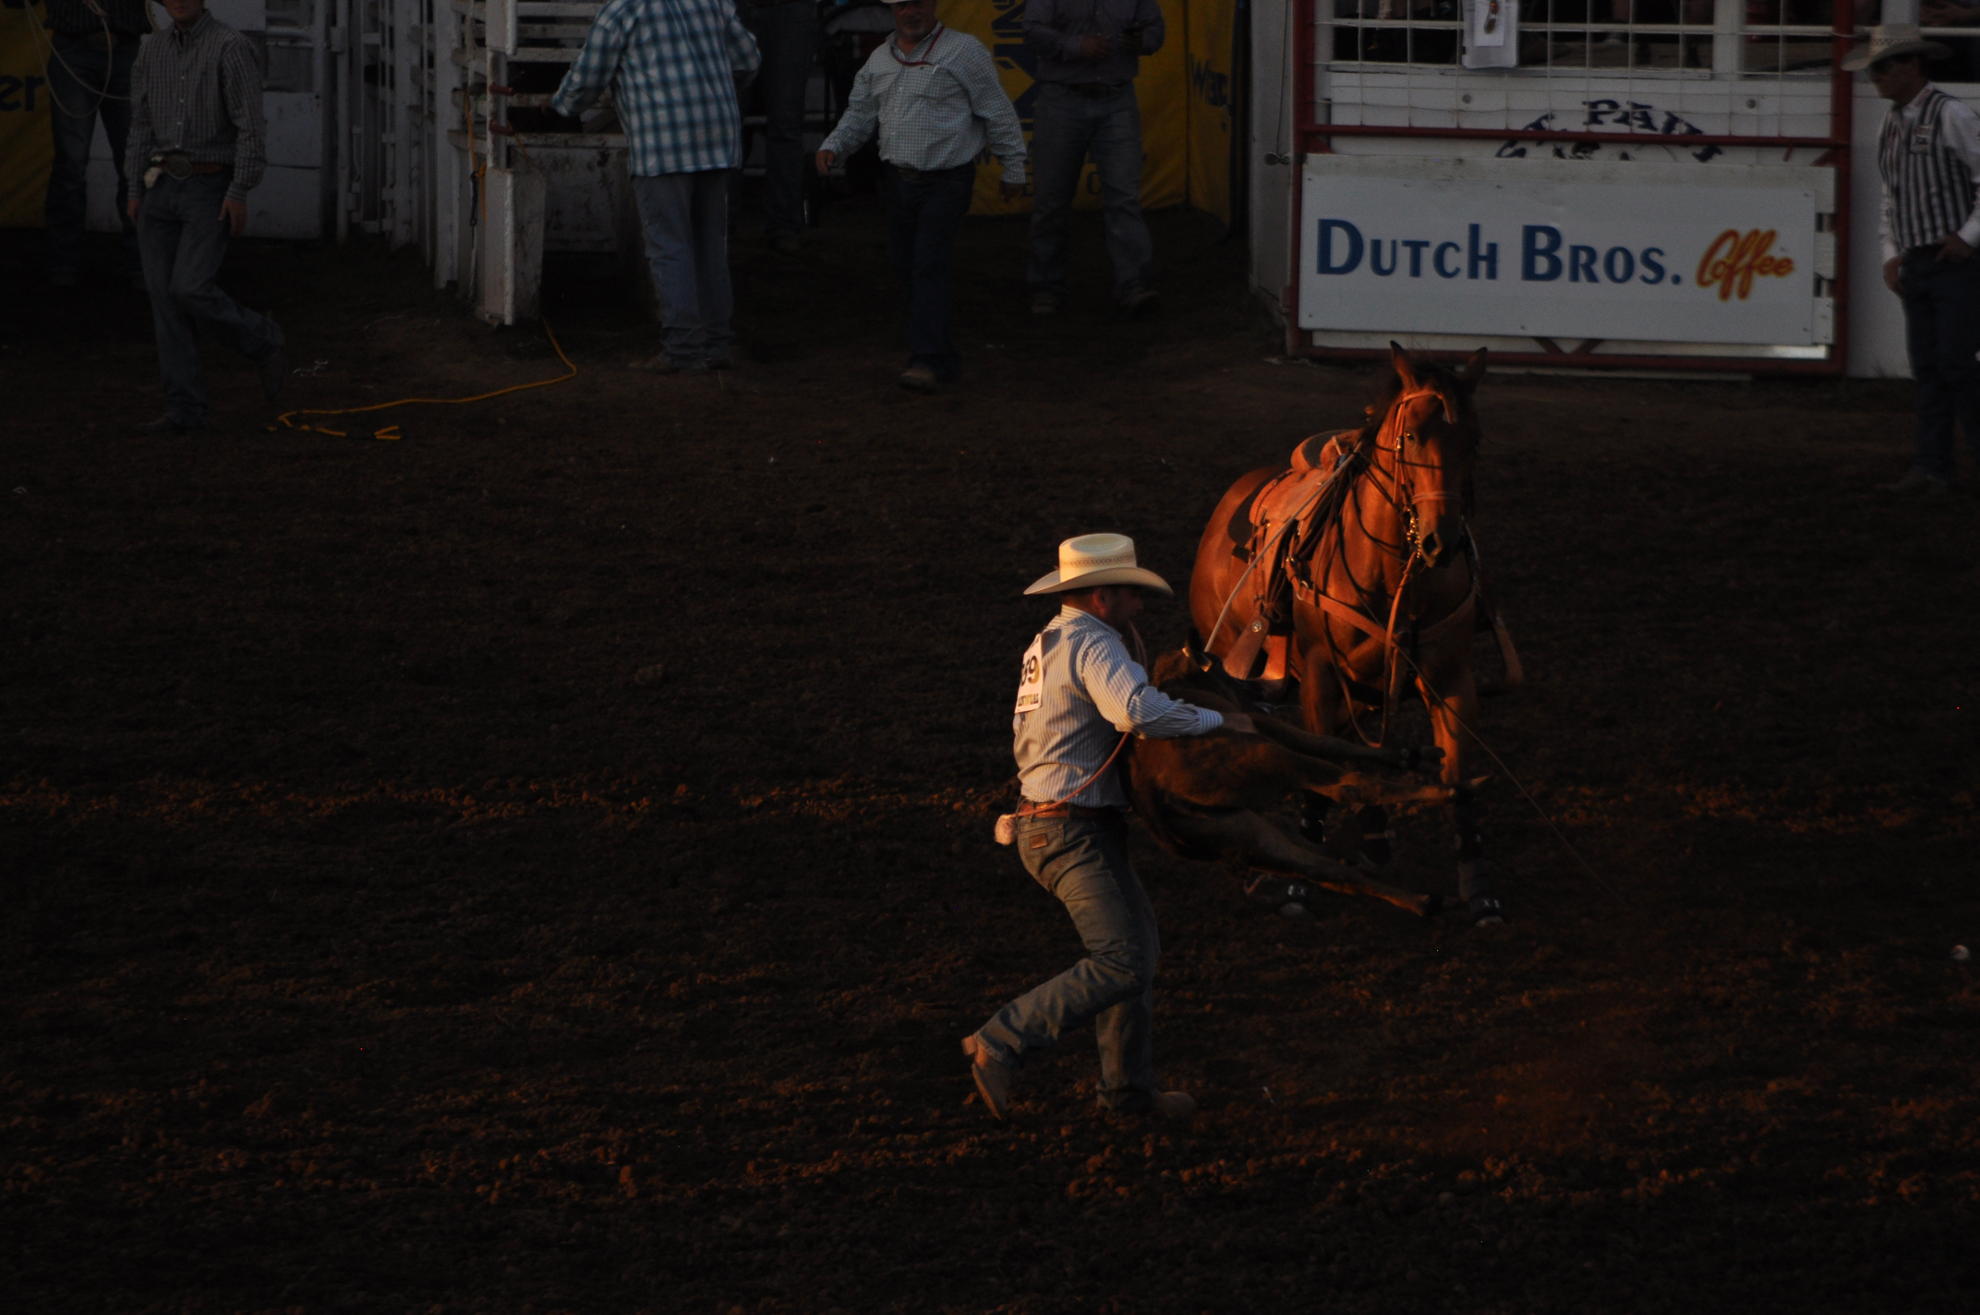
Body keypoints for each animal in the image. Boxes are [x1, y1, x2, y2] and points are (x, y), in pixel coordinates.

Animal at [1188, 344, 1496, 930]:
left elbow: (1457, 778)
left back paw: (1374, 840)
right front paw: (1297, 885)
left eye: (1473, 440)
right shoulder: (1321, 675)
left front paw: (1480, 894)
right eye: (1412, 436)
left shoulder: (1453, 681)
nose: (1441, 541)